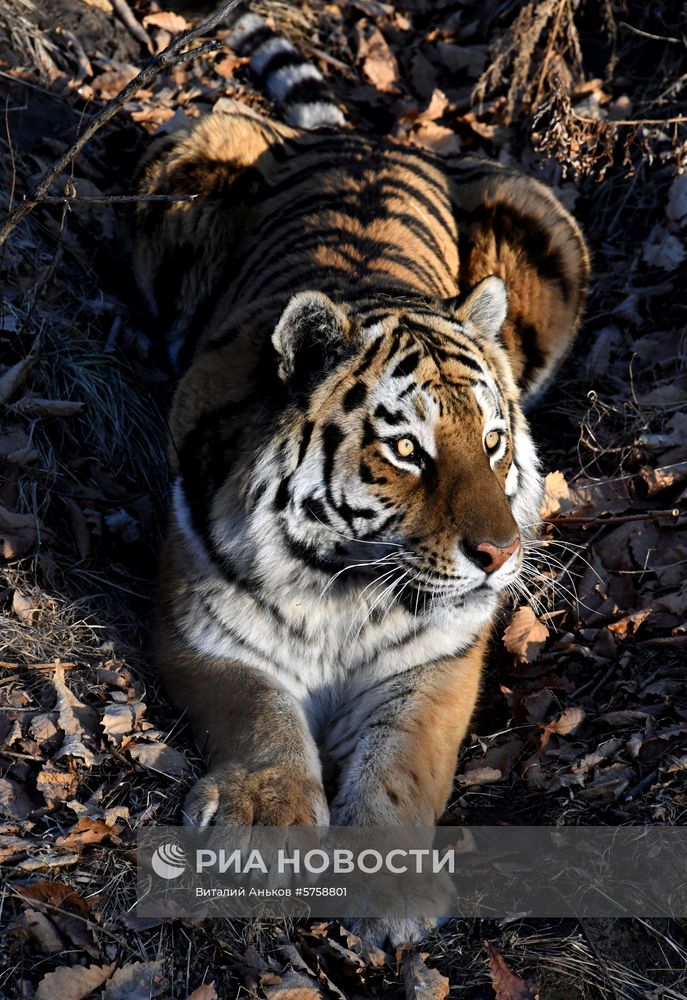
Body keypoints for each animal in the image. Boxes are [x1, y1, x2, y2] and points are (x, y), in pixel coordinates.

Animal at [133, 11, 589, 944]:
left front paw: (389, 886)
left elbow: (406, 754)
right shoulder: (202, 624)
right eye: (409, 450)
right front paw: (263, 828)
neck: (343, 582)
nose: (499, 556)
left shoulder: (441, 654)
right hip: (191, 141)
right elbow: (259, 713)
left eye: (493, 442)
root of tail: (358, 136)